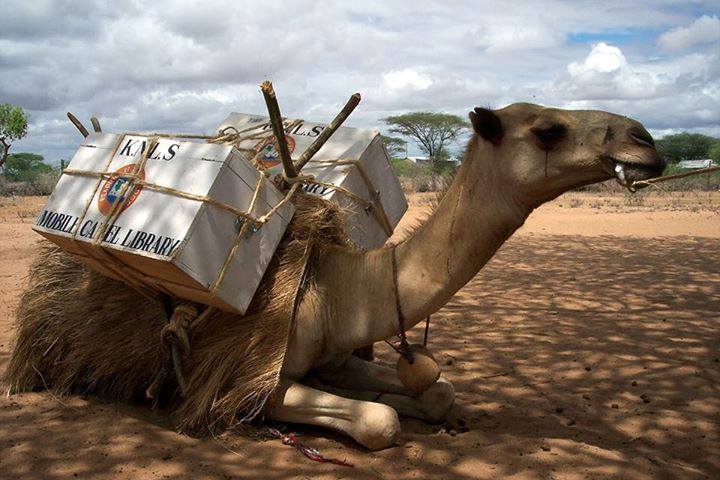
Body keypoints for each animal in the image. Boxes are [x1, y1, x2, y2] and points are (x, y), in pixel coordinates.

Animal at [262, 102, 664, 450]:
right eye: (549, 130)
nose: (645, 140)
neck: (334, 291)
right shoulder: (258, 381)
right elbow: (378, 420)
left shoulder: (339, 360)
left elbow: (440, 392)